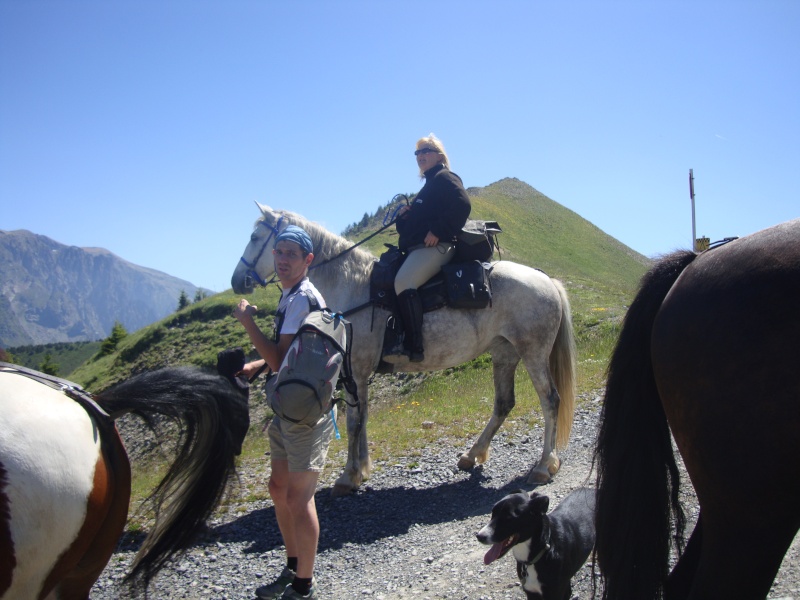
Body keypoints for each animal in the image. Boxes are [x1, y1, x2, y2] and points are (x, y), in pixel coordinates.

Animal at [231, 204, 576, 494]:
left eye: (255, 237)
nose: (237, 280)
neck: (352, 286)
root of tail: (548, 281)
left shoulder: (356, 371)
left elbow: (354, 422)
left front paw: (348, 476)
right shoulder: (360, 376)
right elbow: (363, 417)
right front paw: (362, 469)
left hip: (533, 354)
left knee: (550, 400)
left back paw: (543, 466)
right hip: (504, 354)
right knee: (504, 403)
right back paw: (472, 454)